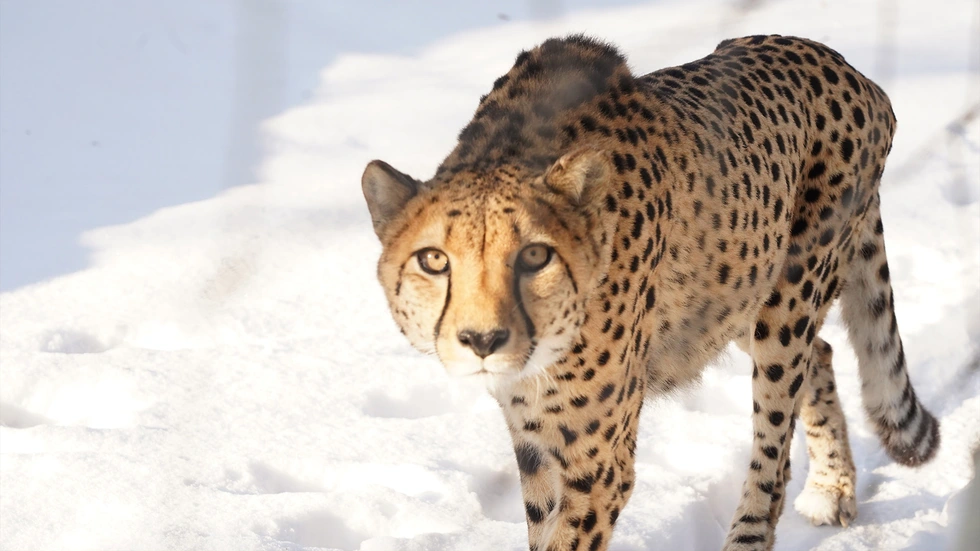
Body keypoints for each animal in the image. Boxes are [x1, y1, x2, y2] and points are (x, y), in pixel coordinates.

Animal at [361, 34, 940, 551]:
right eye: (434, 260)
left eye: (535, 256)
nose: (482, 340)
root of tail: (850, 70)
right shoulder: (535, 434)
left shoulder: (597, 459)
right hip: (738, 292)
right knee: (820, 351)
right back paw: (831, 489)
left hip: (787, 300)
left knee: (775, 442)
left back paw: (754, 532)